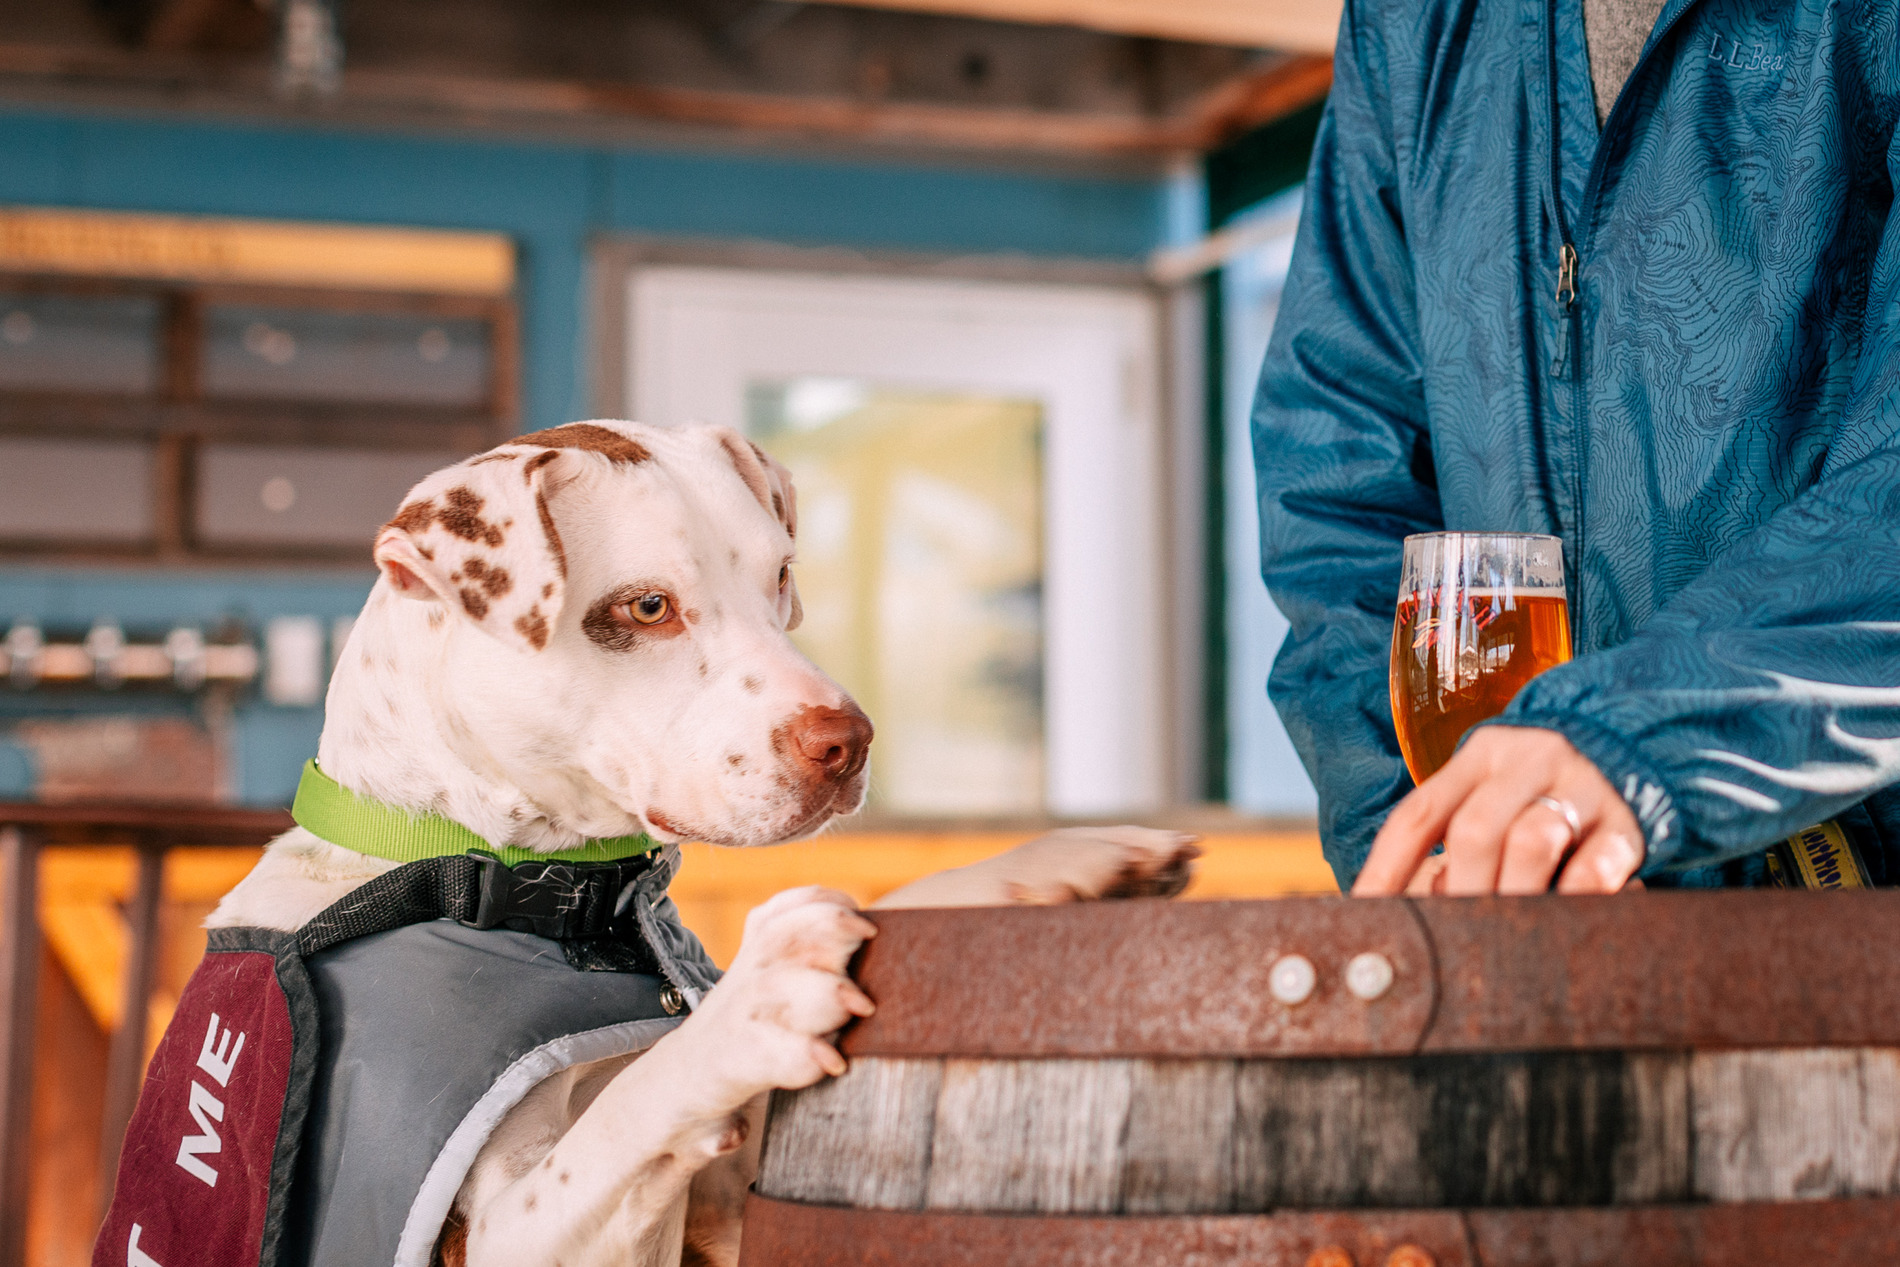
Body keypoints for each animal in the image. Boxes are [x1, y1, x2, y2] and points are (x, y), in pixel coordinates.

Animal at [208, 423, 1185, 1267]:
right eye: (649, 606)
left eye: (780, 575)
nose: (850, 741)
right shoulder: (492, 1230)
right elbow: (632, 1104)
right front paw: (756, 998)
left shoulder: (732, 1198)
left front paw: (1055, 864)